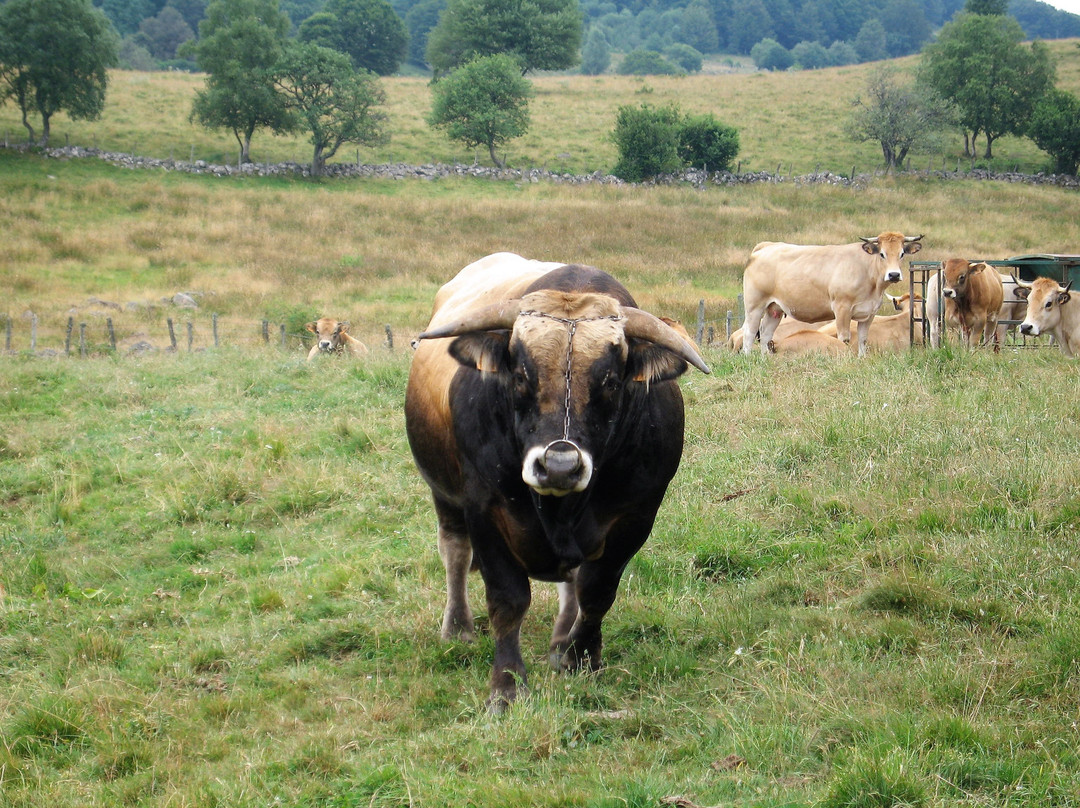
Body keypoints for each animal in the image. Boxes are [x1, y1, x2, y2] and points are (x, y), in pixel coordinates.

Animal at [406, 250, 708, 708]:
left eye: (611, 381)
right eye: (519, 375)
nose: (560, 466)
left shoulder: (635, 517)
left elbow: (597, 590)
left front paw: (580, 657)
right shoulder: (485, 512)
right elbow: (508, 600)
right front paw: (507, 684)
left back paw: (560, 641)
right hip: (444, 495)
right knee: (455, 553)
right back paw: (457, 627)